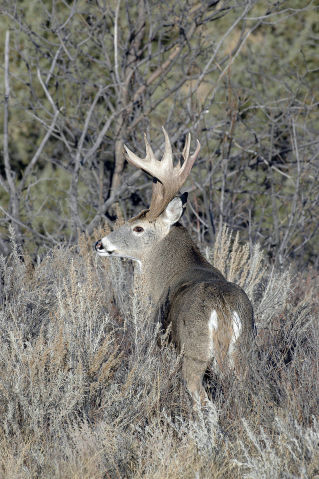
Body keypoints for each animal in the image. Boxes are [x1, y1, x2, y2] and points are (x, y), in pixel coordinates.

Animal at [95, 128, 255, 404]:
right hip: (243, 352)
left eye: (138, 228)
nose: (100, 243)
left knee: (201, 397)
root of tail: (223, 308)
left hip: (194, 351)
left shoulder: (159, 338)